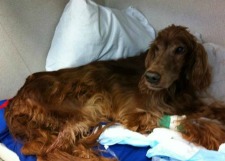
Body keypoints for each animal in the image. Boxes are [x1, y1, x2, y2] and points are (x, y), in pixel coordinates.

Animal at [4, 24, 225, 160]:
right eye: (157, 49)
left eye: (180, 49)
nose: (151, 77)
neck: (173, 89)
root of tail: (18, 95)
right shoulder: (135, 117)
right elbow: (185, 119)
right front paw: (215, 135)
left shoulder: (189, 102)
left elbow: (210, 109)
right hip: (85, 108)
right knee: (50, 148)